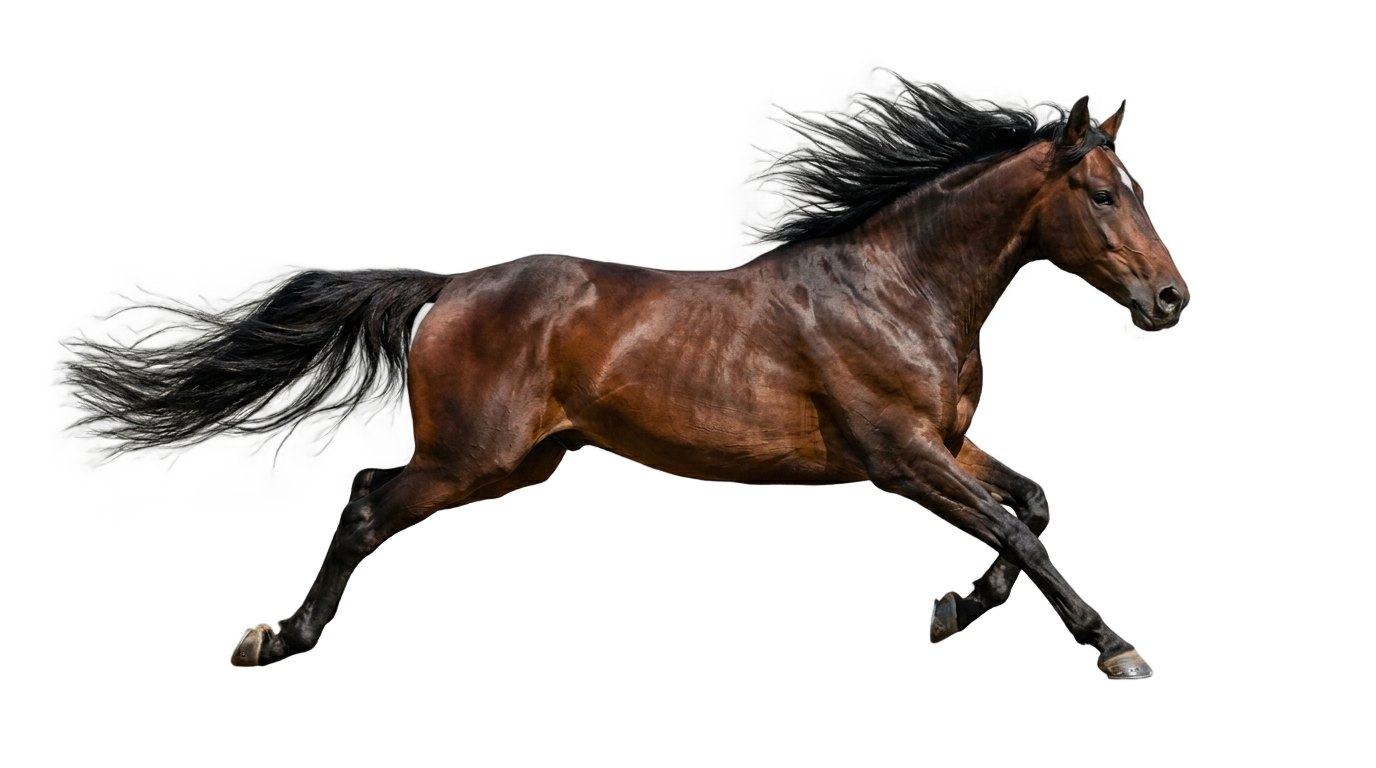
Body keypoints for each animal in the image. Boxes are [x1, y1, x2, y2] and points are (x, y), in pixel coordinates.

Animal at [62, 78, 1186, 679]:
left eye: (1134, 185)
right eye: (1099, 191)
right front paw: (1111, 646)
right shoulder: (898, 455)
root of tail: (450, 285)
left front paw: (962, 610)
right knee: (365, 508)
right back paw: (282, 642)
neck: (893, 291)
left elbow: (1029, 509)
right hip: (468, 455)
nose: (1172, 299)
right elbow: (1011, 529)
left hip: (497, 459)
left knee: (367, 498)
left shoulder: (945, 445)